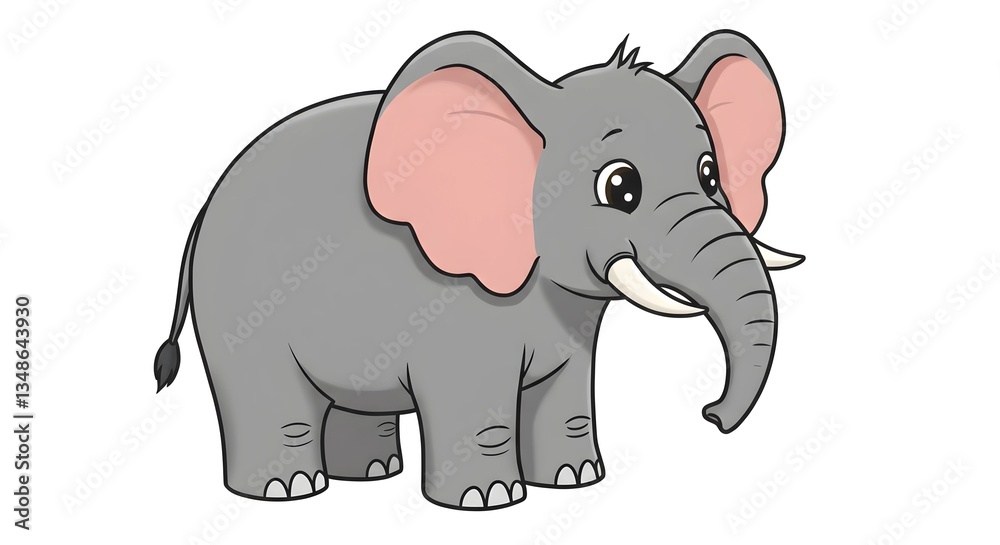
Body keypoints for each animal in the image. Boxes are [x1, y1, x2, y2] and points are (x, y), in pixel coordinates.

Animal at [153, 30, 803, 510]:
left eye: (711, 176)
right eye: (620, 187)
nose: (709, 415)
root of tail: (206, 205)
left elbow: (565, 394)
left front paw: (574, 481)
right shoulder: (461, 309)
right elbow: (476, 395)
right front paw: (488, 501)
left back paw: (374, 473)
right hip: (237, 310)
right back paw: (286, 490)